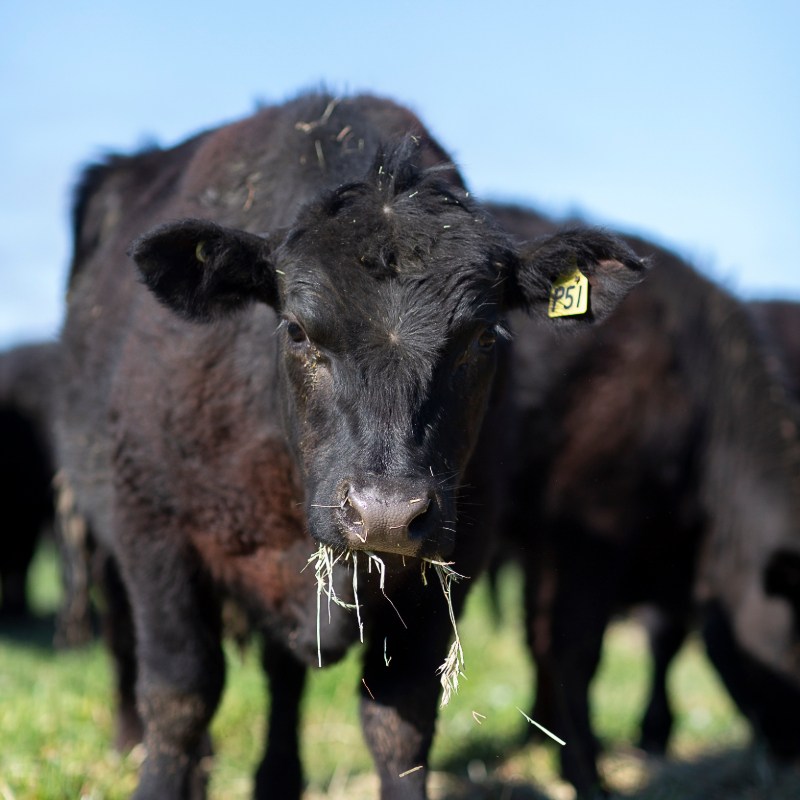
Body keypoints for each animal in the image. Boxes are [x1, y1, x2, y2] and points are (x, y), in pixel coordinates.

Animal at [56, 95, 644, 800]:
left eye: (482, 337)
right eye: (296, 330)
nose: (386, 513)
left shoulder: (454, 559)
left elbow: (398, 719)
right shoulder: (152, 528)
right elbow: (181, 694)